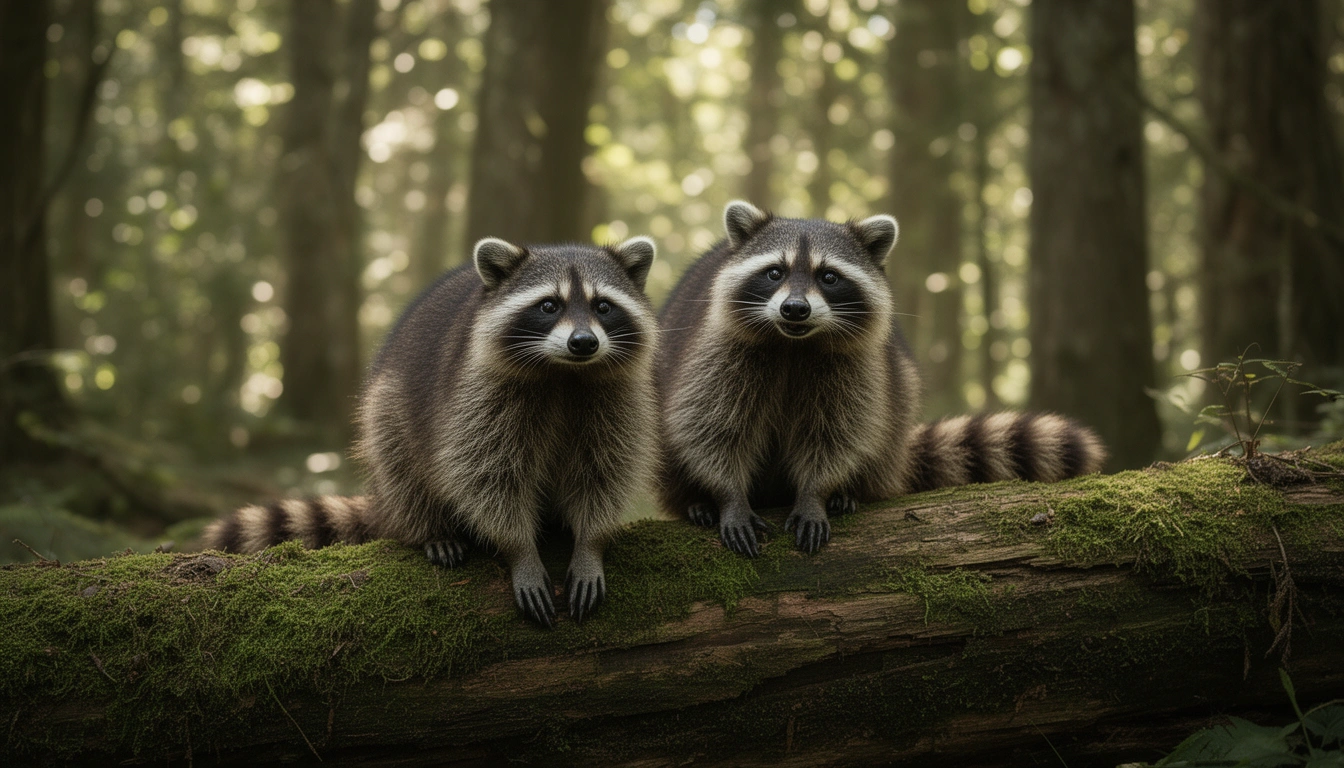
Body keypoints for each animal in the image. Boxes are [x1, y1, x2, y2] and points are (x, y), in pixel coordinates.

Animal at [204, 236, 660, 626]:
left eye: (603, 306)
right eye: (549, 305)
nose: (583, 343)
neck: (565, 373)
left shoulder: (616, 398)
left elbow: (607, 468)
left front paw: (590, 544)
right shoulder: (475, 397)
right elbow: (485, 475)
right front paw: (520, 552)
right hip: (390, 406)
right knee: (396, 454)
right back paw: (431, 527)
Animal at [656, 201, 1105, 557]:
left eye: (828, 277)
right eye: (774, 272)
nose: (795, 309)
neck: (794, 343)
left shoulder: (856, 367)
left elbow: (840, 433)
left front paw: (817, 493)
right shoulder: (719, 354)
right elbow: (710, 427)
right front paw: (728, 496)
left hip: (893, 402)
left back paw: (848, 492)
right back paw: (695, 500)